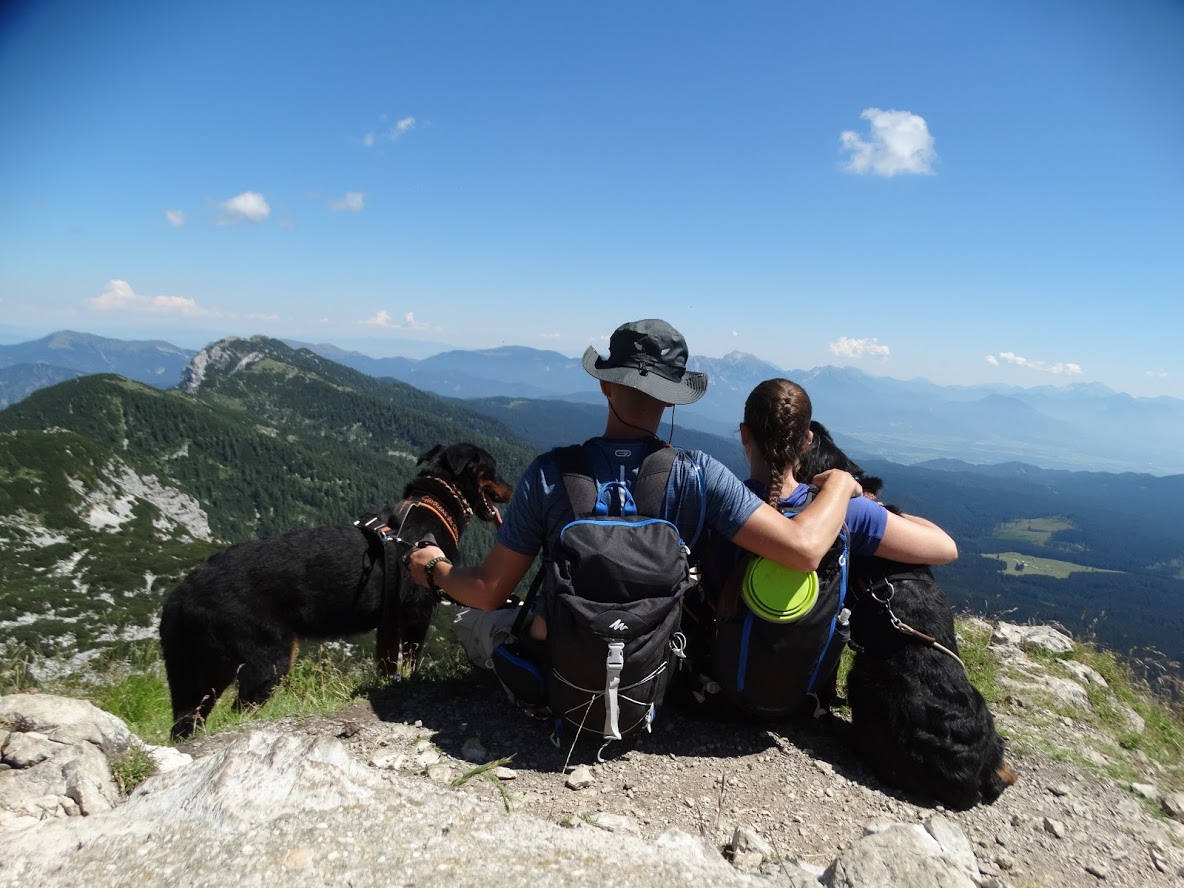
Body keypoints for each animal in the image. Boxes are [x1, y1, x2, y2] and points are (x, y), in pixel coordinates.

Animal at [159, 442, 511, 738]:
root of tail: (183, 592)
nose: (510, 490)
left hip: (195, 673)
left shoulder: (389, 623)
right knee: (240, 709)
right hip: (267, 660)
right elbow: (411, 660)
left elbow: (387, 664)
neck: (435, 505)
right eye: (494, 469)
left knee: (187, 721)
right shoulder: (417, 614)